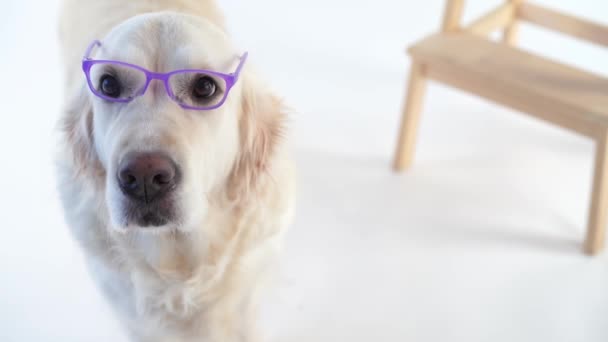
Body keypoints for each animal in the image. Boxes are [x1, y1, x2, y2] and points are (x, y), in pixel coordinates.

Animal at [55, 1, 296, 340]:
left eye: (205, 87)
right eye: (108, 84)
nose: (144, 177)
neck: (179, 268)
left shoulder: (243, 302)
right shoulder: (134, 318)